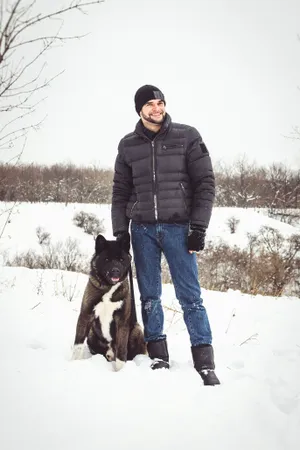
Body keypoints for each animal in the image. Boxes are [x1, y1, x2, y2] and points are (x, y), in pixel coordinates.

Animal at [70, 234, 145, 370]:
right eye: (107, 259)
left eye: (121, 260)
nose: (115, 271)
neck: (108, 287)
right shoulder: (85, 315)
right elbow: (77, 345)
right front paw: (73, 363)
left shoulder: (122, 322)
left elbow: (121, 351)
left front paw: (120, 371)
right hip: (91, 334)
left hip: (137, 330)